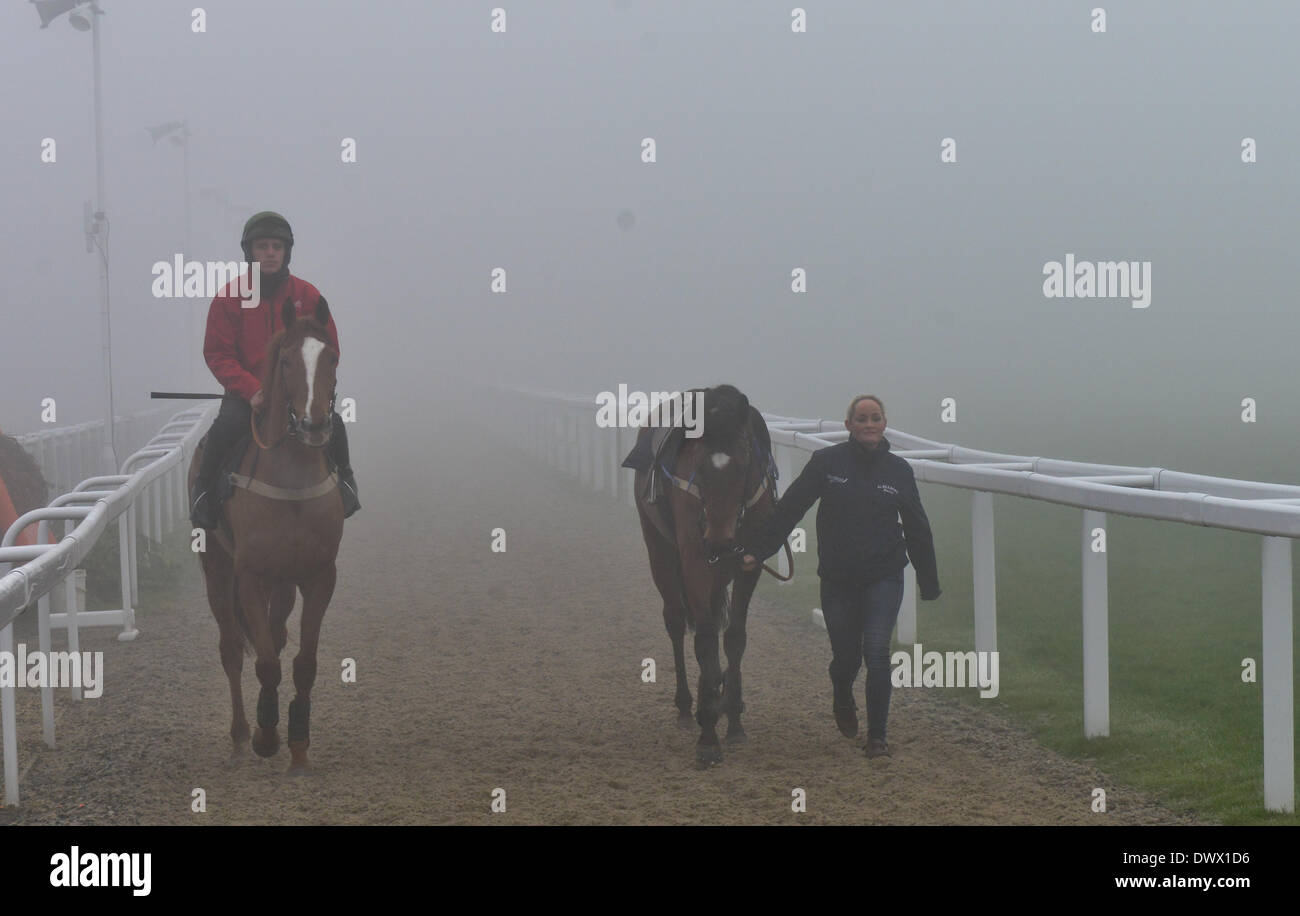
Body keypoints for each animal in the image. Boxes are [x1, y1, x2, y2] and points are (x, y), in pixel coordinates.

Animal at [187, 296, 345, 769]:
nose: (314, 425)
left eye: (331, 357)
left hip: (283, 580)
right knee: (232, 648)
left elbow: (302, 662)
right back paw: (242, 734)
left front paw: (298, 742)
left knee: (275, 636)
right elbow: (266, 663)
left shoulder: (319, 575)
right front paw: (266, 737)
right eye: (288, 360)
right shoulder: (250, 575)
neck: (291, 483)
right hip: (217, 567)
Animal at [634, 379, 774, 763]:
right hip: (660, 549)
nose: (719, 539)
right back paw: (687, 706)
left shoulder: (747, 560)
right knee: (675, 619)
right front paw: (709, 735)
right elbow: (706, 639)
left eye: (743, 464)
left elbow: (735, 637)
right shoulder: (695, 557)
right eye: (699, 465)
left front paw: (734, 719)